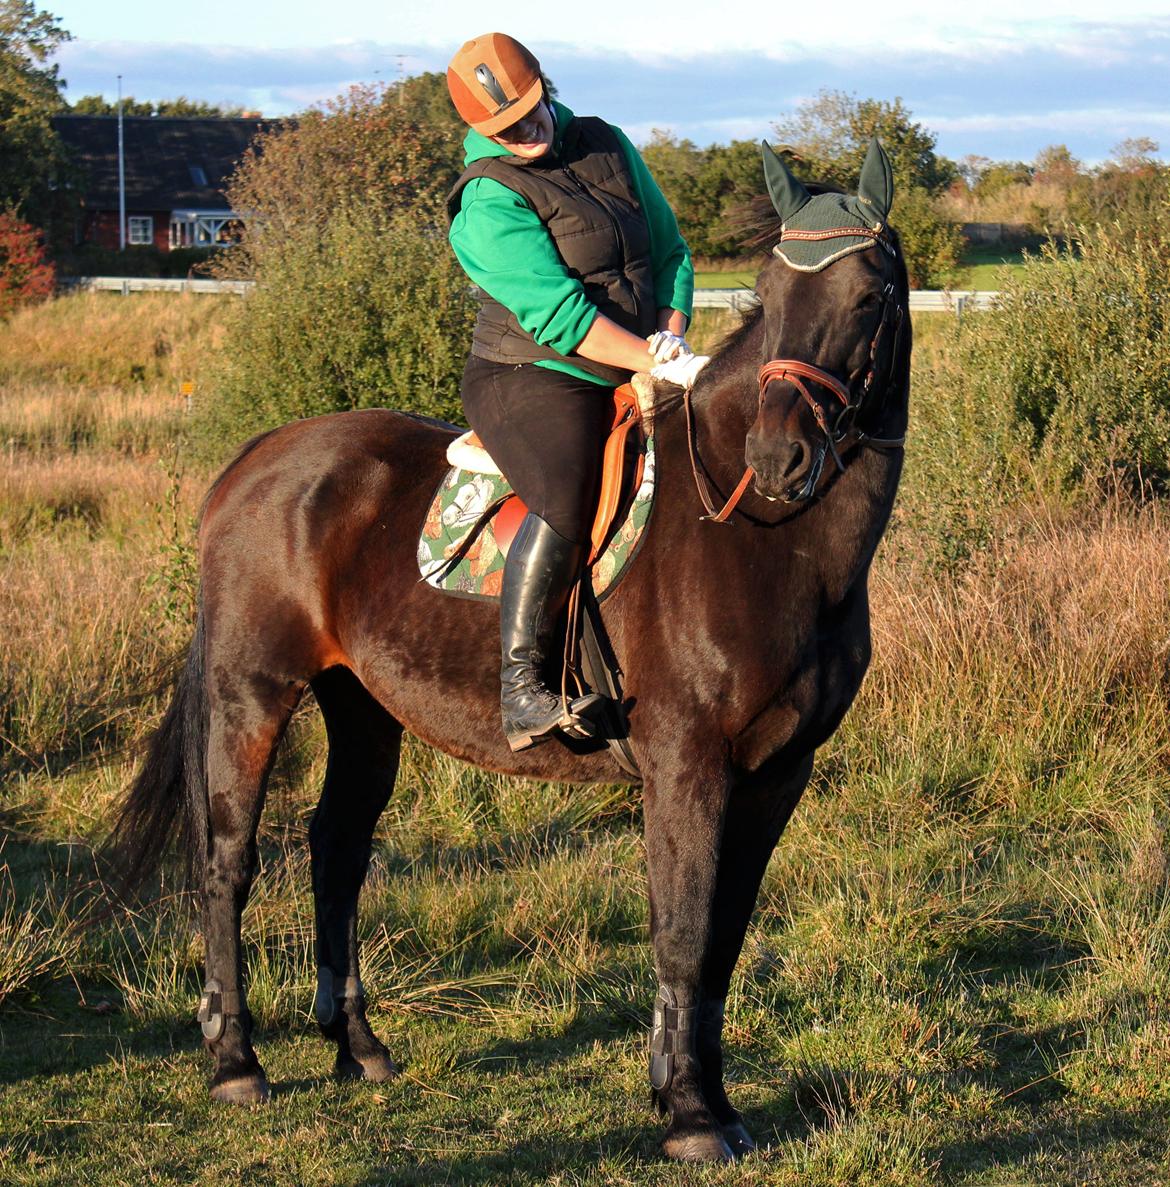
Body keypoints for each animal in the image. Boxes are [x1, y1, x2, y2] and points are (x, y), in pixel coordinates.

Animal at [111, 138, 911, 1158]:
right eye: (769, 292)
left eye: (867, 294)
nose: (779, 458)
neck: (761, 538)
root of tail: (258, 459)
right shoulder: (688, 764)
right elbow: (683, 930)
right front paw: (691, 1113)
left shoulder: (779, 771)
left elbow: (725, 936)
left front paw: (707, 1097)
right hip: (252, 689)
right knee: (226, 857)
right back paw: (235, 1060)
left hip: (362, 705)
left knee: (339, 847)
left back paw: (358, 1045)